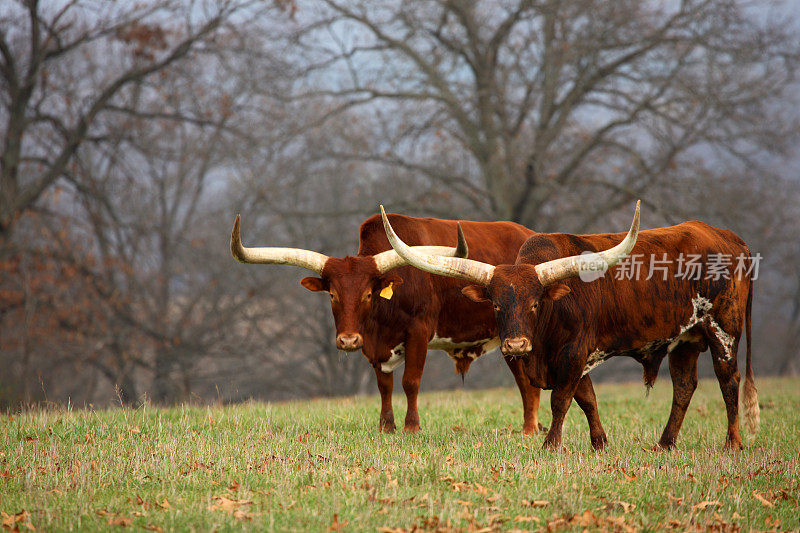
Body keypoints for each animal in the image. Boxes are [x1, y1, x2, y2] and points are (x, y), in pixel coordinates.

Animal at [231, 212, 544, 432]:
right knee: (525, 382)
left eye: (368, 294)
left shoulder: (418, 332)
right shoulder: (374, 344)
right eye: (332, 294)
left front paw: (411, 427)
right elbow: (384, 385)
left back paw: (530, 428)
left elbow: (410, 381)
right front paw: (386, 426)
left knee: (526, 382)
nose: (348, 340)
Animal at [384, 203, 760, 448]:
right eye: (496, 305)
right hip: (685, 339)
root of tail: (730, 238)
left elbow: (562, 400)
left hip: (723, 330)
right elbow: (587, 398)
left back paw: (732, 444)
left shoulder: (573, 352)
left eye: (535, 304)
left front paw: (551, 444)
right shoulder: (568, 359)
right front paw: (599, 442)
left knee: (729, 382)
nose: (516, 346)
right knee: (684, 386)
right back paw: (664, 444)